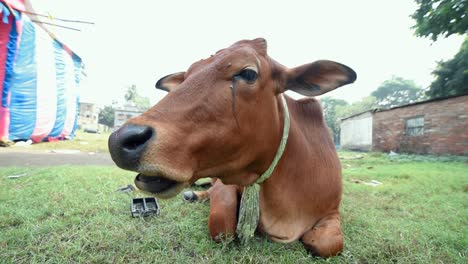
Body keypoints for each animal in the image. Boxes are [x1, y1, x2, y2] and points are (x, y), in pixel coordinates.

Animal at [109, 38, 354, 256]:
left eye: (248, 73)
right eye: (187, 76)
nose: (121, 140)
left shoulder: (332, 211)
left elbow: (329, 244)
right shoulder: (226, 183)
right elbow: (222, 225)